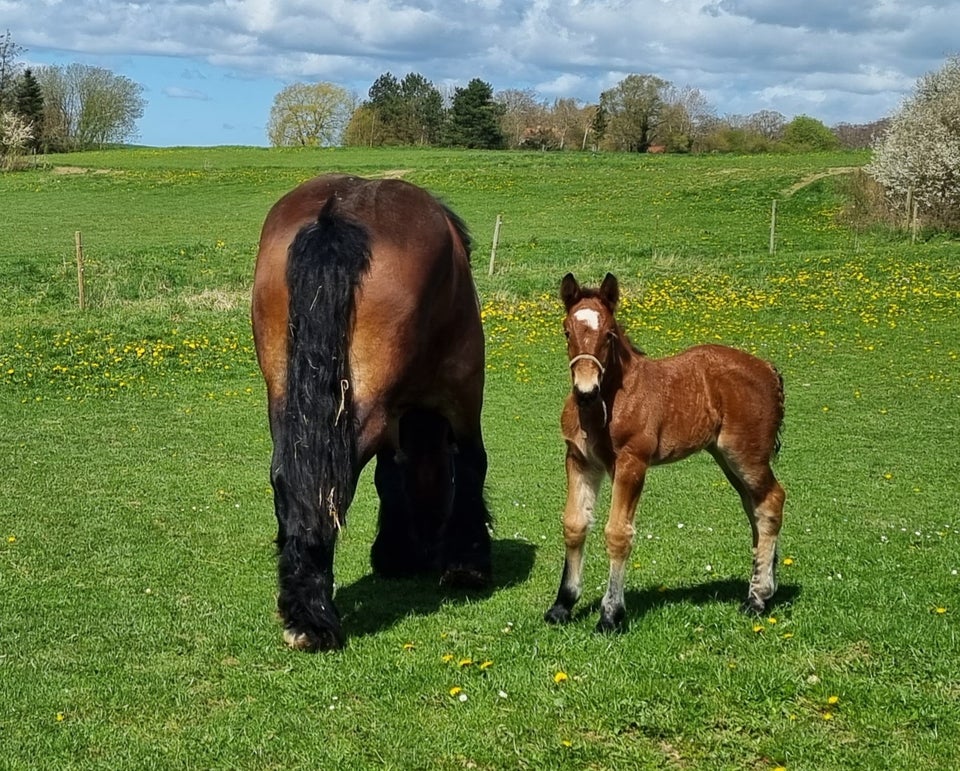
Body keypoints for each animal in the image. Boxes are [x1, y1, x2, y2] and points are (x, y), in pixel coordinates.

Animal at [251, 173, 492, 652]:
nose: (428, 548)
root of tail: (337, 213)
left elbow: (390, 474)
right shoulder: (462, 396)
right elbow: (471, 463)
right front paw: (468, 562)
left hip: (289, 403)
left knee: (291, 478)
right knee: (327, 484)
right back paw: (314, 620)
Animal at [544, 274, 784, 632]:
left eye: (609, 333)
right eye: (567, 332)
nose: (586, 391)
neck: (608, 402)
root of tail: (768, 368)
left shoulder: (632, 463)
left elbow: (618, 533)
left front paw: (611, 615)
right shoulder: (580, 460)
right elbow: (574, 524)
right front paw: (562, 606)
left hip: (746, 455)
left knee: (771, 501)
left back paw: (756, 599)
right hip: (727, 459)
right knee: (755, 507)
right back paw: (762, 587)